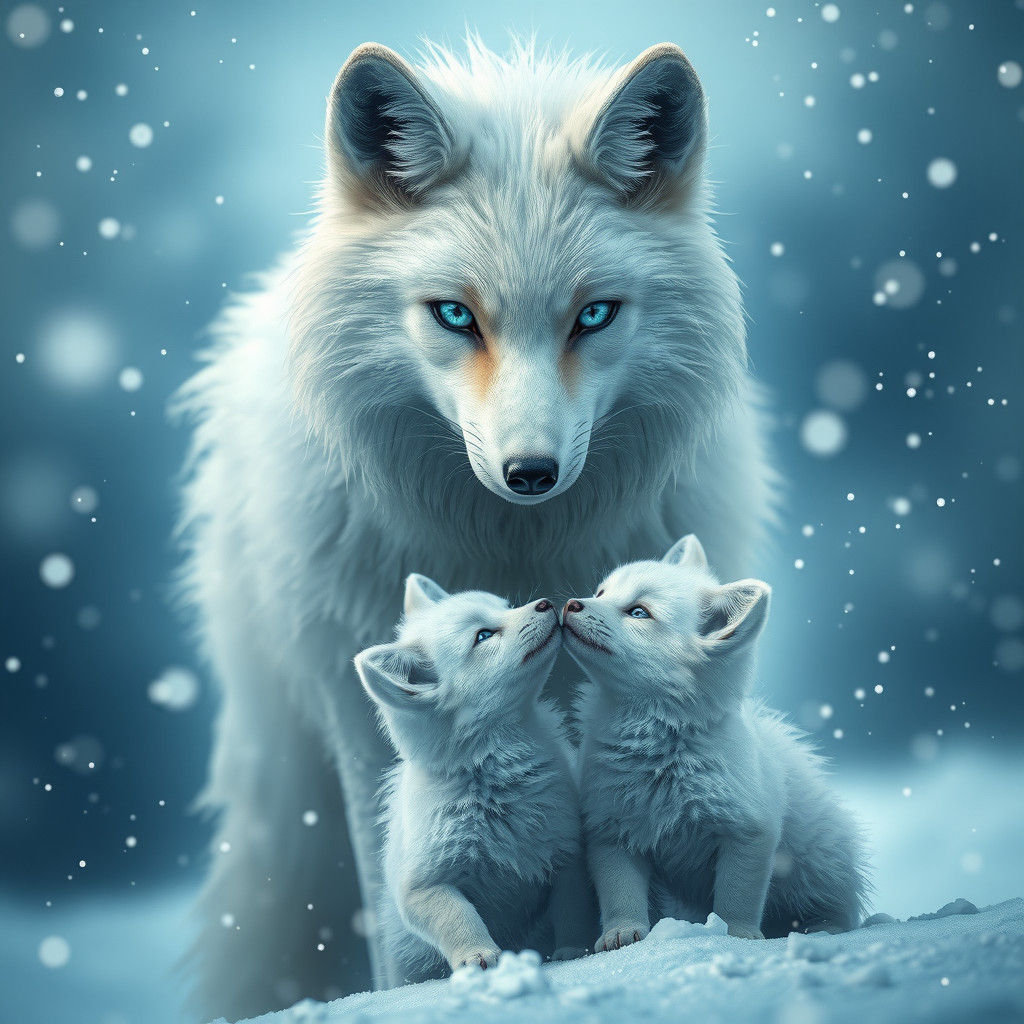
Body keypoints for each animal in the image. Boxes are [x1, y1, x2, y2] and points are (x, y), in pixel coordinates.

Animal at [354, 573, 592, 985]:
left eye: (506, 606)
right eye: (483, 636)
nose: (546, 603)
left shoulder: (566, 856)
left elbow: (571, 910)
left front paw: (574, 949)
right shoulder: (423, 886)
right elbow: (458, 916)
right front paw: (476, 955)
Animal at [563, 535, 869, 950]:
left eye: (639, 612)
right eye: (600, 593)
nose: (570, 603)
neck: (661, 746)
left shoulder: (751, 833)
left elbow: (736, 897)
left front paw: (735, 936)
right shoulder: (610, 832)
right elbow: (620, 893)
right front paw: (622, 933)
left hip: (818, 866)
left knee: (837, 906)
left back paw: (824, 927)